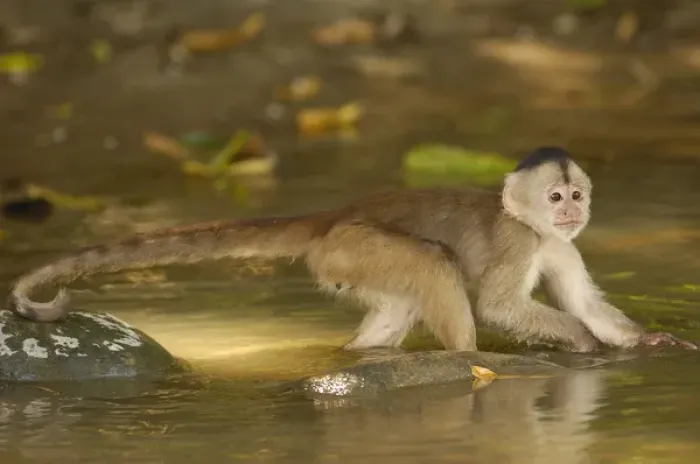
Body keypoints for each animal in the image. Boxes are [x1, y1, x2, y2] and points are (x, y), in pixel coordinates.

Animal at [6, 147, 697, 353]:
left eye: (576, 194)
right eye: (555, 196)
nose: (573, 210)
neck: (533, 227)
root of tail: (335, 214)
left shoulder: (558, 246)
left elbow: (583, 299)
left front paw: (648, 343)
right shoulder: (518, 240)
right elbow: (501, 307)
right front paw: (581, 346)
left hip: (349, 261)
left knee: (400, 302)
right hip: (354, 246)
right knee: (434, 266)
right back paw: (469, 361)